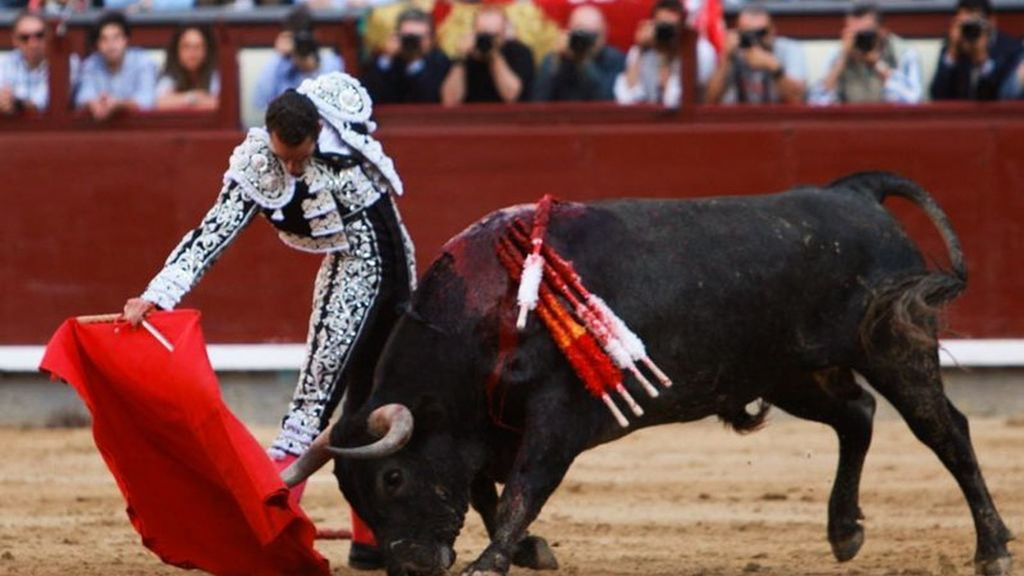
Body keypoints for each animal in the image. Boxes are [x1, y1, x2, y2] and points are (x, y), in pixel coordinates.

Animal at [284, 170, 1011, 573]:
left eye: (393, 476)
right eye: (352, 492)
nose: (411, 566)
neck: (491, 308)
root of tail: (854, 194)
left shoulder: (558, 418)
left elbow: (522, 490)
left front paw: (492, 564)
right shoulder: (490, 425)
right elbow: (489, 491)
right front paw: (529, 552)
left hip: (891, 348)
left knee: (945, 431)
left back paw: (992, 548)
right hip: (786, 373)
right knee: (857, 415)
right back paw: (845, 531)